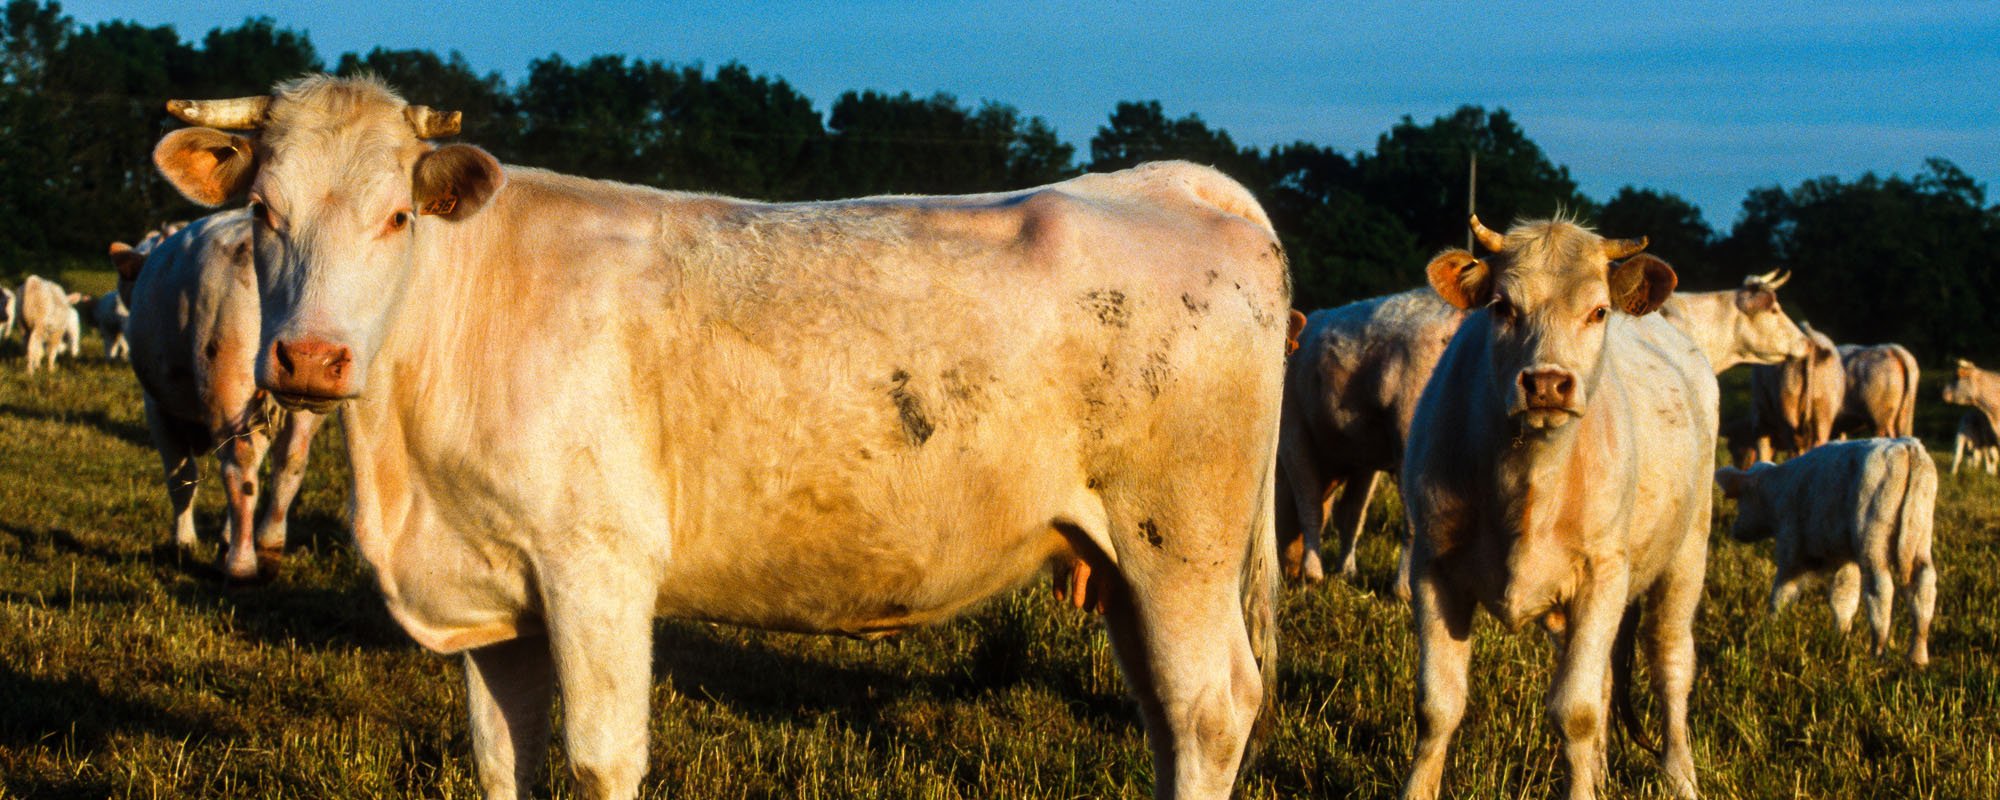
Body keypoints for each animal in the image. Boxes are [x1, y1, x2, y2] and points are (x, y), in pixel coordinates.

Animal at [118, 211, 325, 580]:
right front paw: (223, 538)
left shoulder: (157, 408)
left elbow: (181, 478)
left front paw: (183, 542)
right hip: (305, 388)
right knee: (290, 461)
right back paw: (268, 546)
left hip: (228, 386)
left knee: (238, 468)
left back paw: (240, 565)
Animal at [151, 75, 1286, 800]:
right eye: (264, 209)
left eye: (397, 216)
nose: (310, 358)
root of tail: (1169, 182)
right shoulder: (492, 590)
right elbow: (503, 762)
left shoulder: (597, 568)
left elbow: (601, 759)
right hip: (1128, 564)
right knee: (1166, 713)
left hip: (1179, 545)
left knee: (1210, 708)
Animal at [1400, 215, 1712, 800]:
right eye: (1502, 307)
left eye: (1598, 311)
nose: (1546, 383)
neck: (1527, 482)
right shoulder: (1433, 566)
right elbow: (1437, 705)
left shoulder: (1603, 574)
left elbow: (1576, 712)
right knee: (1606, 674)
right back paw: (1605, 770)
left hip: (1687, 555)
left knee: (1670, 661)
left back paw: (1679, 774)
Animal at [1715, 438, 1937, 666]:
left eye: (1741, 498)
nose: (1735, 531)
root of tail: (1906, 446)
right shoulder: (1845, 556)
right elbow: (1843, 598)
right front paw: (1841, 638)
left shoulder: (1790, 548)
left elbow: (1781, 593)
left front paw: (1769, 629)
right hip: (1920, 537)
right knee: (1923, 586)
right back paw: (1917, 657)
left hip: (1872, 539)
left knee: (1880, 589)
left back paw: (1878, 652)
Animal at [1743, 322, 1844, 464]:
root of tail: (1810, 338)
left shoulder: (1760, 419)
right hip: (1823, 406)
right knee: (1816, 443)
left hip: (1787, 405)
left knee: (1795, 447)